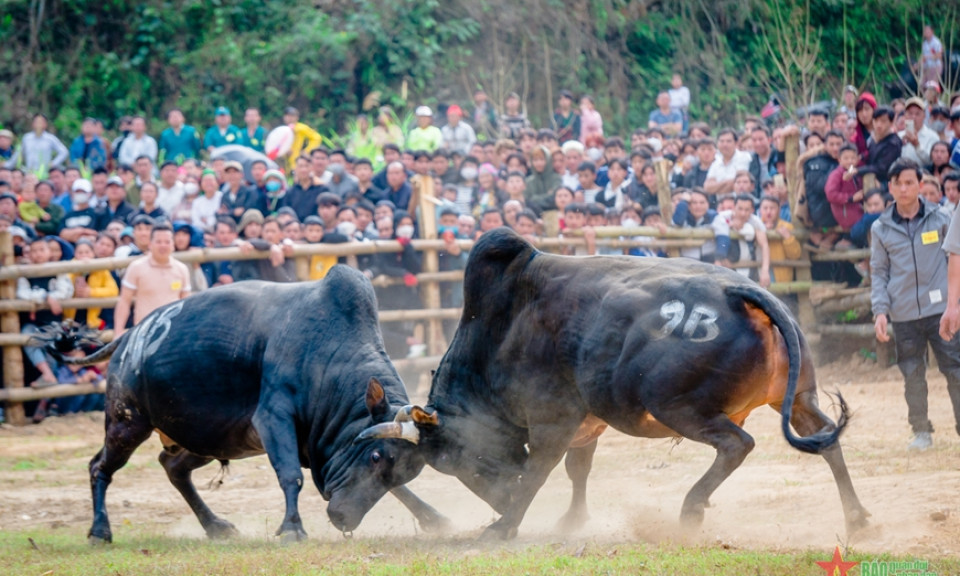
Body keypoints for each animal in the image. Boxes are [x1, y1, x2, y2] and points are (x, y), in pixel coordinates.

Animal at [56, 266, 450, 544]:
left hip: (207, 438)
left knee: (173, 467)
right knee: (99, 467)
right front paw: (291, 528)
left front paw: (433, 517)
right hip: (127, 423)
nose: (343, 519)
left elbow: (399, 491)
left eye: (401, 469)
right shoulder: (273, 419)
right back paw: (100, 531)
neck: (325, 354)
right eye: (375, 456)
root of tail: (129, 337)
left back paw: (215, 525)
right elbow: (290, 475)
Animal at [360, 230, 872, 540]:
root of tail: (740, 292)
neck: (503, 328)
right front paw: (571, 520)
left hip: (676, 405)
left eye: (454, 461)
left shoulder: (551, 421)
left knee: (737, 443)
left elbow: (539, 471)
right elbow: (577, 471)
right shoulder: (585, 427)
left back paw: (691, 509)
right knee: (826, 439)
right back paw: (857, 518)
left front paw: (504, 526)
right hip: (799, 398)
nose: (498, 498)